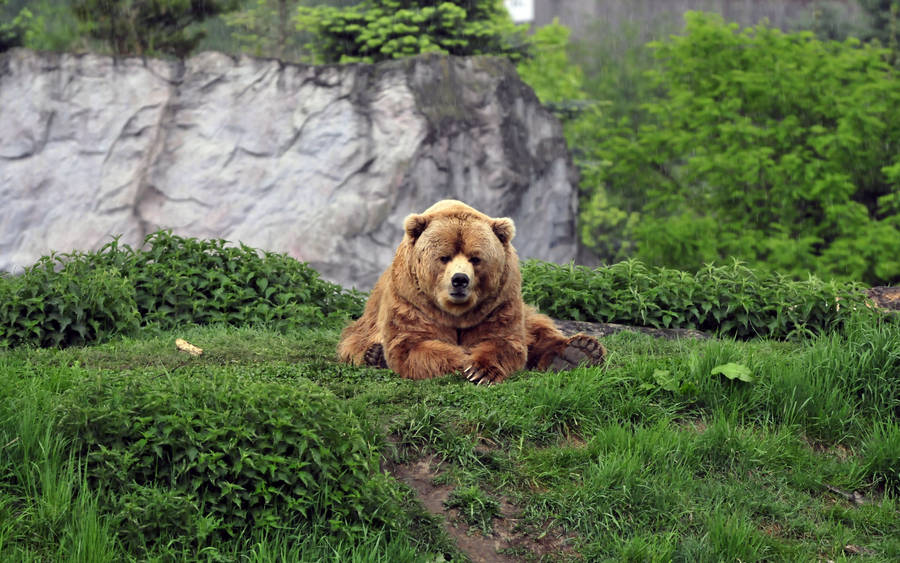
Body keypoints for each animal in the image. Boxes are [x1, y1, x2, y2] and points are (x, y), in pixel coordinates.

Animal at [337, 200, 606, 384]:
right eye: (444, 257)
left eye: (475, 258)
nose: (459, 280)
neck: (456, 312)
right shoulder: (411, 301)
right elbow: (414, 344)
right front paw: (463, 361)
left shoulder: (499, 303)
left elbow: (504, 341)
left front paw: (481, 370)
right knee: (356, 342)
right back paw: (374, 355)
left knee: (538, 329)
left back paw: (579, 351)